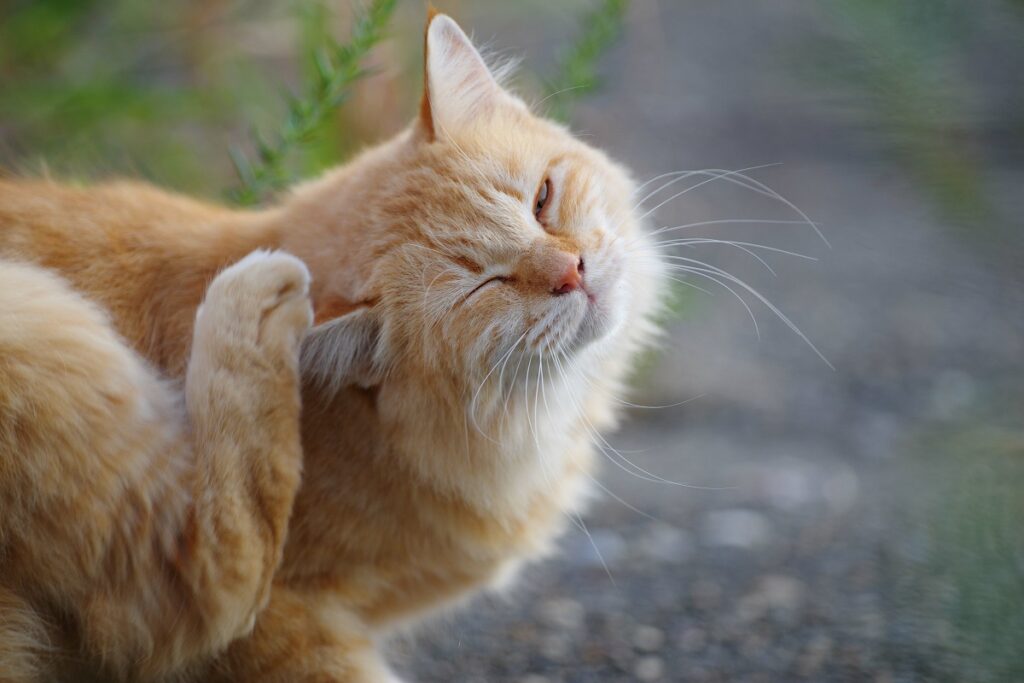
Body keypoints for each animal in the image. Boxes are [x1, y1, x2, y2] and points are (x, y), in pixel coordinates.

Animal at [0, 10, 663, 683]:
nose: (571, 271)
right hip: (33, 322)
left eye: (541, 200)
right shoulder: (284, 626)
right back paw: (250, 300)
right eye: (486, 286)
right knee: (199, 585)